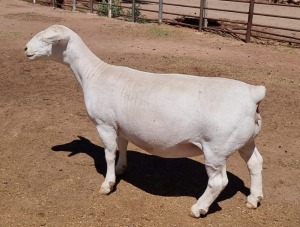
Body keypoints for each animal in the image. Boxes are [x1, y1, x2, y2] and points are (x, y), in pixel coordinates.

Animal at [25, 24, 264, 216]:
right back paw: (254, 199)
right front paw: (121, 169)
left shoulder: (105, 124)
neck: (94, 73)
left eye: (48, 39)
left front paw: (107, 184)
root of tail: (253, 94)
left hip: (216, 148)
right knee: (255, 163)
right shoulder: (120, 126)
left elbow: (109, 154)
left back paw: (199, 208)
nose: (26, 49)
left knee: (218, 181)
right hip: (244, 140)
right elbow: (122, 146)